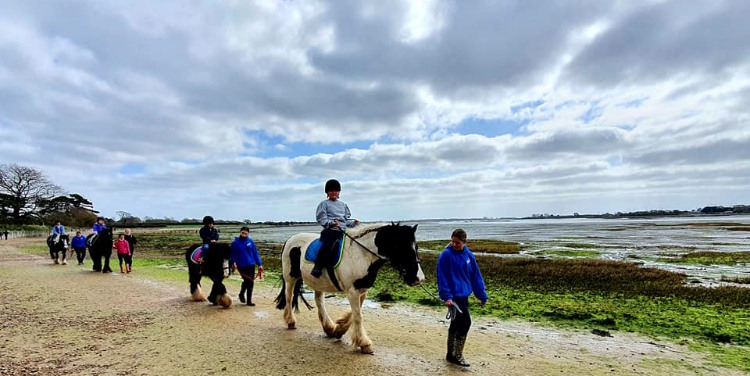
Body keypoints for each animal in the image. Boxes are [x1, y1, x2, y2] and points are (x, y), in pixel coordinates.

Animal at [278, 225, 428, 354]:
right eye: (400, 246)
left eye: (416, 247)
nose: (419, 278)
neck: (361, 254)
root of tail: (290, 239)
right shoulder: (352, 292)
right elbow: (358, 316)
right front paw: (364, 343)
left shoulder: (362, 290)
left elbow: (354, 315)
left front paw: (339, 330)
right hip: (290, 277)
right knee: (289, 296)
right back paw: (291, 321)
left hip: (318, 281)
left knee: (319, 301)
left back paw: (328, 328)